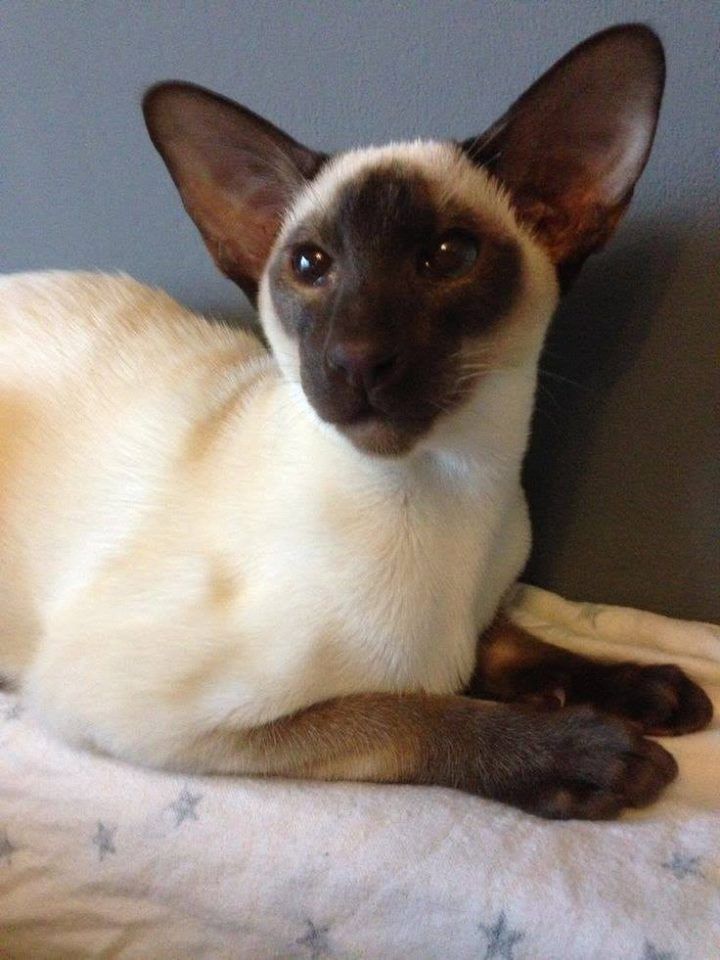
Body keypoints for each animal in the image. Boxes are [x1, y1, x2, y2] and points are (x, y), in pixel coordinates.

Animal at [0, 22, 708, 816]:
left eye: (448, 255)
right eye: (311, 265)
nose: (358, 360)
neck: (450, 495)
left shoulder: (487, 608)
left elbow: (511, 645)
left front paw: (645, 689)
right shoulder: (135, 707)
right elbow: (411, 711)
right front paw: (588, 754)